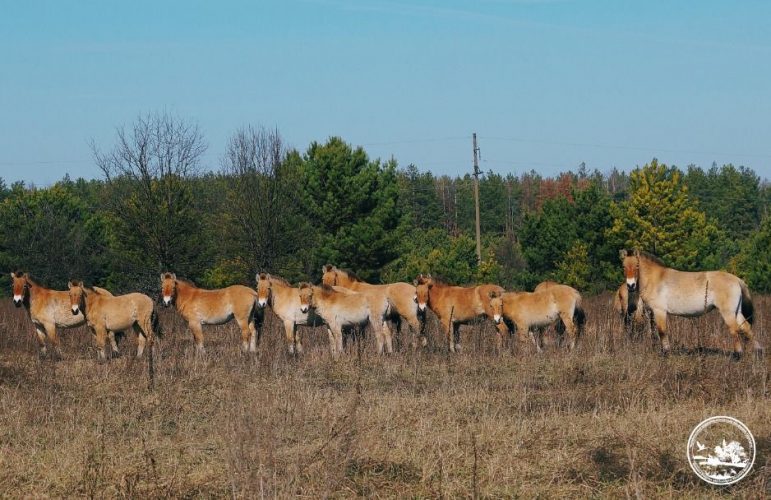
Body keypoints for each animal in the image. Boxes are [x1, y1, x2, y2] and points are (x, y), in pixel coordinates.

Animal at [620, 249, 761, 358]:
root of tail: (737, 280)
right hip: (737, 312)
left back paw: (738, 355)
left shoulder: (659, 311)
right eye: (623, 266)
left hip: (728, 313)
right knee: (746, 328)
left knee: (735, 330)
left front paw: (666, 353)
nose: (631, 285)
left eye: (637, 266)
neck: (656, 278)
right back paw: (758, 352)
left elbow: (662, 331)